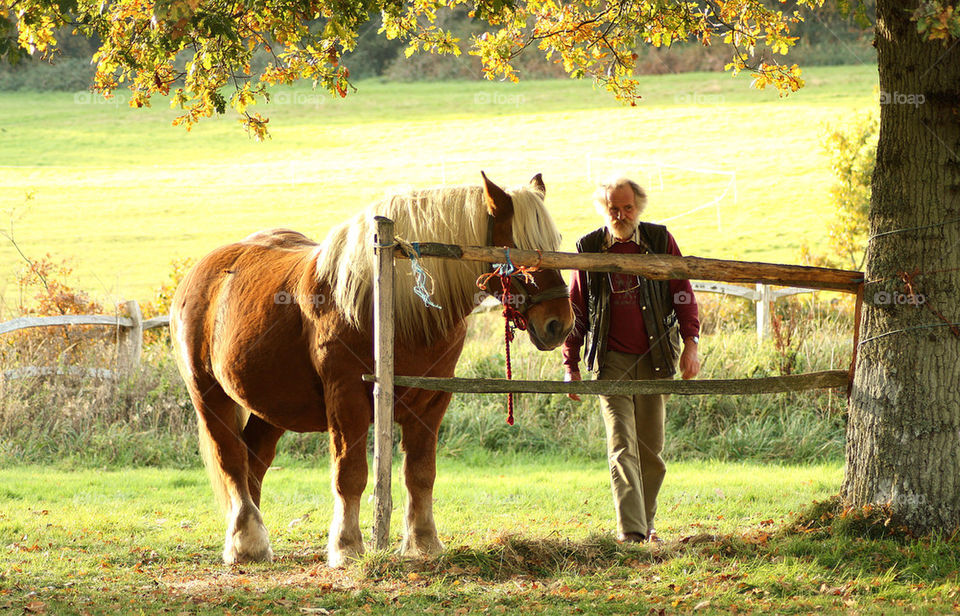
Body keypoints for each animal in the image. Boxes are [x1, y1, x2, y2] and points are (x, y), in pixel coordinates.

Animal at [169, 172, 575, 567]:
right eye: (519, 252)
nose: (560, 324)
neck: (394, 305)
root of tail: (202, 274)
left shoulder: (432, 400)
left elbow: (421, 473)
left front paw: (423, 542)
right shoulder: (347, 397)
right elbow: (350, 475)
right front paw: (347, 546)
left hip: (271, 406)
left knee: (255, 460)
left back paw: (250, 540)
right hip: (208, 395)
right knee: (232, 461)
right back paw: (246, 542)